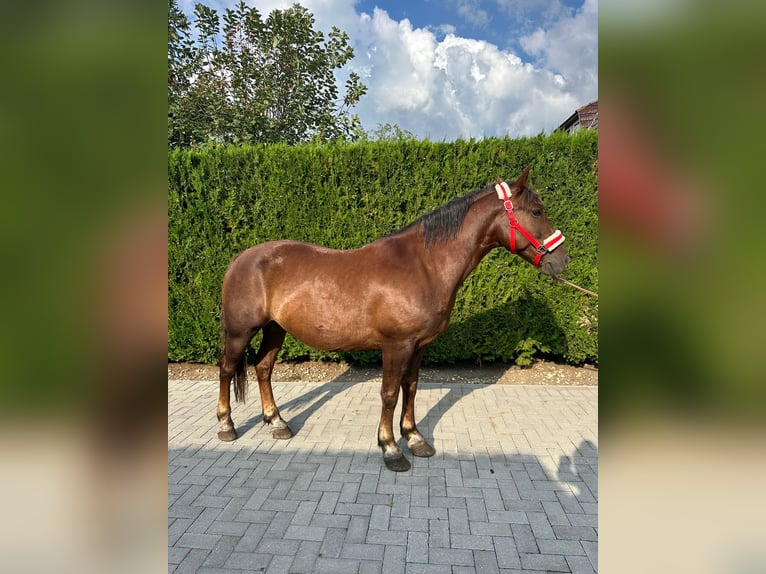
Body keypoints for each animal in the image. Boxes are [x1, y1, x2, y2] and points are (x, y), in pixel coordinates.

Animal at [216, 166, 569, 471]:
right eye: (537, 211)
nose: (562, 260)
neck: (424, 265)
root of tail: (240, 259)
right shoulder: (396, 345)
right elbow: (389, 393)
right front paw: (390, 448)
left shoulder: (419, 345)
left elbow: (410, 387)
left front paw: (414, 438)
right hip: (240, 331)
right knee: (227, 369)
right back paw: (227, 426)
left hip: (275, 329)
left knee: (263, 368)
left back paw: (277, 422)